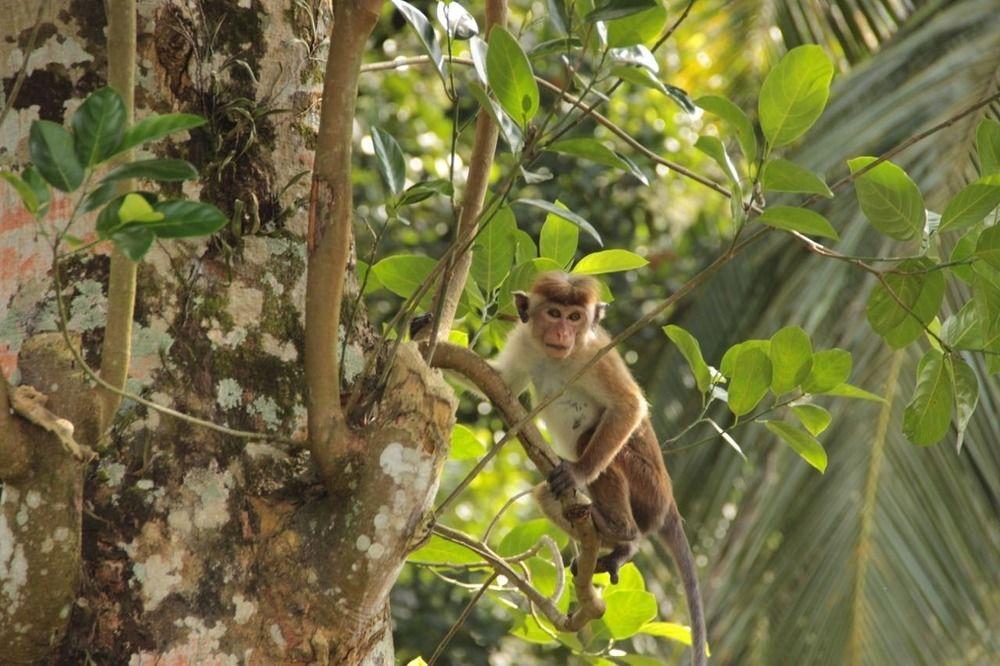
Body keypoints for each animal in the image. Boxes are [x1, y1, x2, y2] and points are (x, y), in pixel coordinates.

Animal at [488, 270, 708, 664]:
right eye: (554, 313)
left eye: (575, 318)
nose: (563, 333)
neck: (557, 357)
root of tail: (669, 504)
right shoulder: (524, 343)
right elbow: (500, 383)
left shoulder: (594, 354)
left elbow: (629, 406)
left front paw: (577, 472)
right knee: (547, 497)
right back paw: (617, 547)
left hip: (648, 489)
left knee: (590, 440)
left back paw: (623, 532)